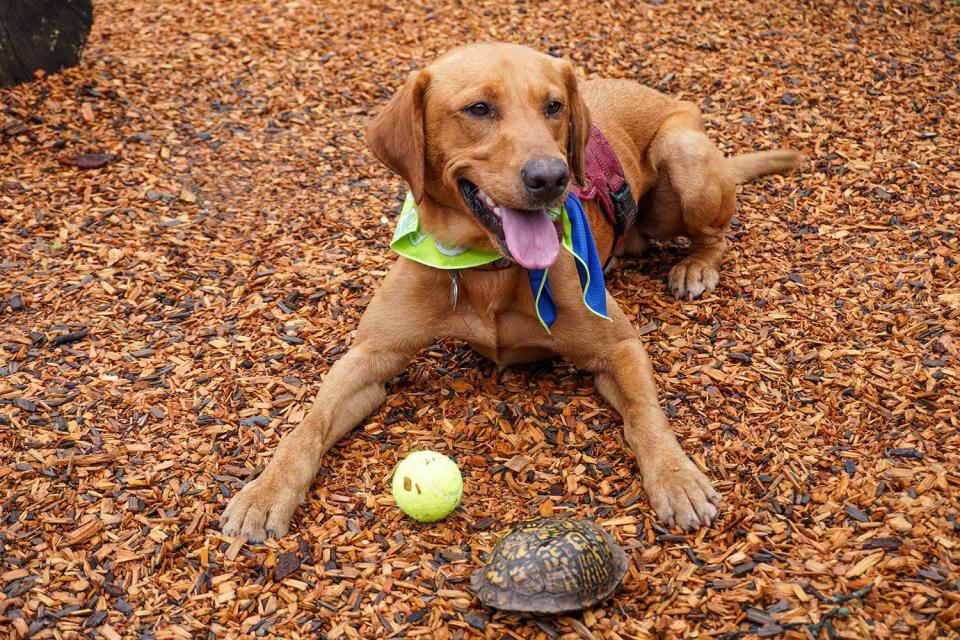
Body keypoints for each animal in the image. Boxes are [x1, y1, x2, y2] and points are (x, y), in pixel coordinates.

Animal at [221, 42, 800, 540]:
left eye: (554, 106)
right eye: (479, 108)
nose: (553, 177)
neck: (486, 269)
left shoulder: (618, 347)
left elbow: (646, 416)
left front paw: (677, 478)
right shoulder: (369, 356)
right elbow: (308, 424)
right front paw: (265, 492)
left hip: (686, 156)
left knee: (716, 234)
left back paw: (696, 266)